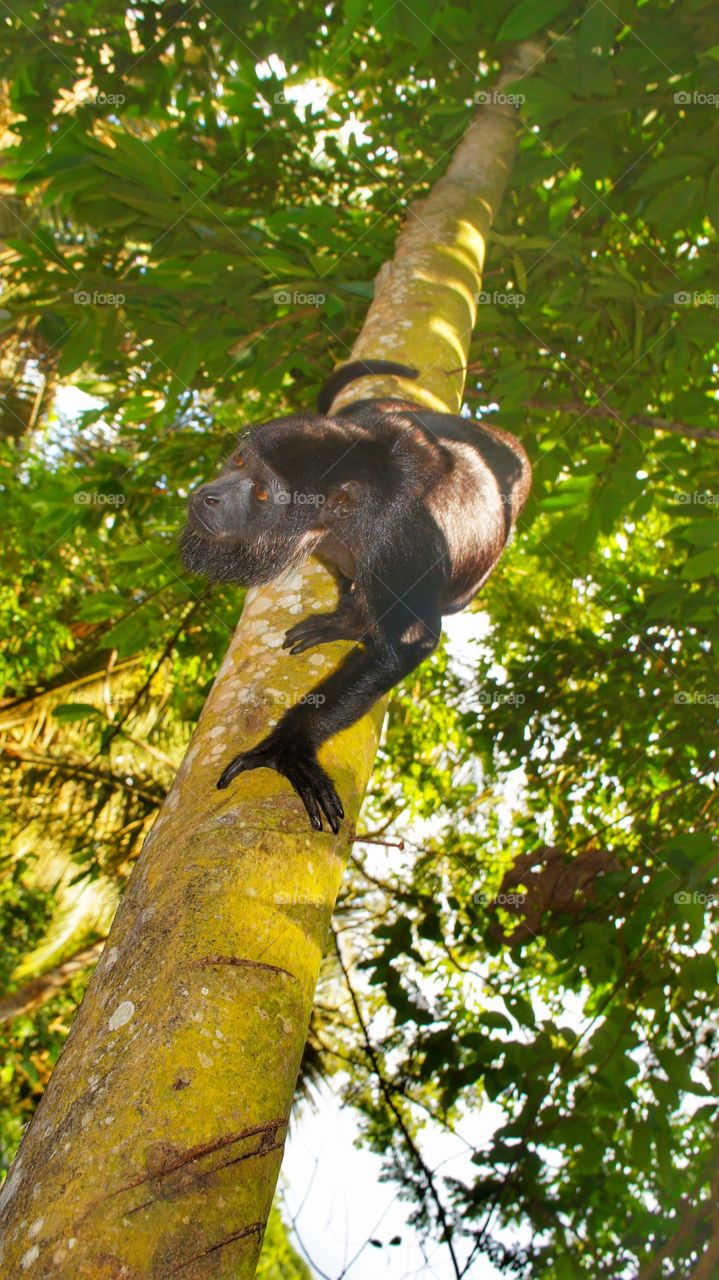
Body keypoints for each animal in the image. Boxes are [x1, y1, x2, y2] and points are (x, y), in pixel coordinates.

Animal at [180, 359, 531, 833]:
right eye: (239, 459)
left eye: (262, 492)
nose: (209, 495)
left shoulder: (399, 536)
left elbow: (408, 644)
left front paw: (288, 747)